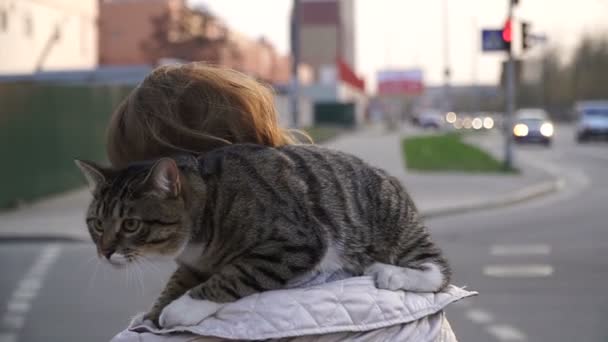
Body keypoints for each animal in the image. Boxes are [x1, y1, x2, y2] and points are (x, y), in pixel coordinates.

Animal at [76, 144, 448, 326]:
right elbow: (174, 284)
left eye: (130, 224)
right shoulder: (193, 263)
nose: (104, 251)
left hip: (391, 220)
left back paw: (389, 272)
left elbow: (233, 276)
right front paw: (152, 313)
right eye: (96, 224)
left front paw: (182, 309)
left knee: (438, 270)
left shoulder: (294, 243)